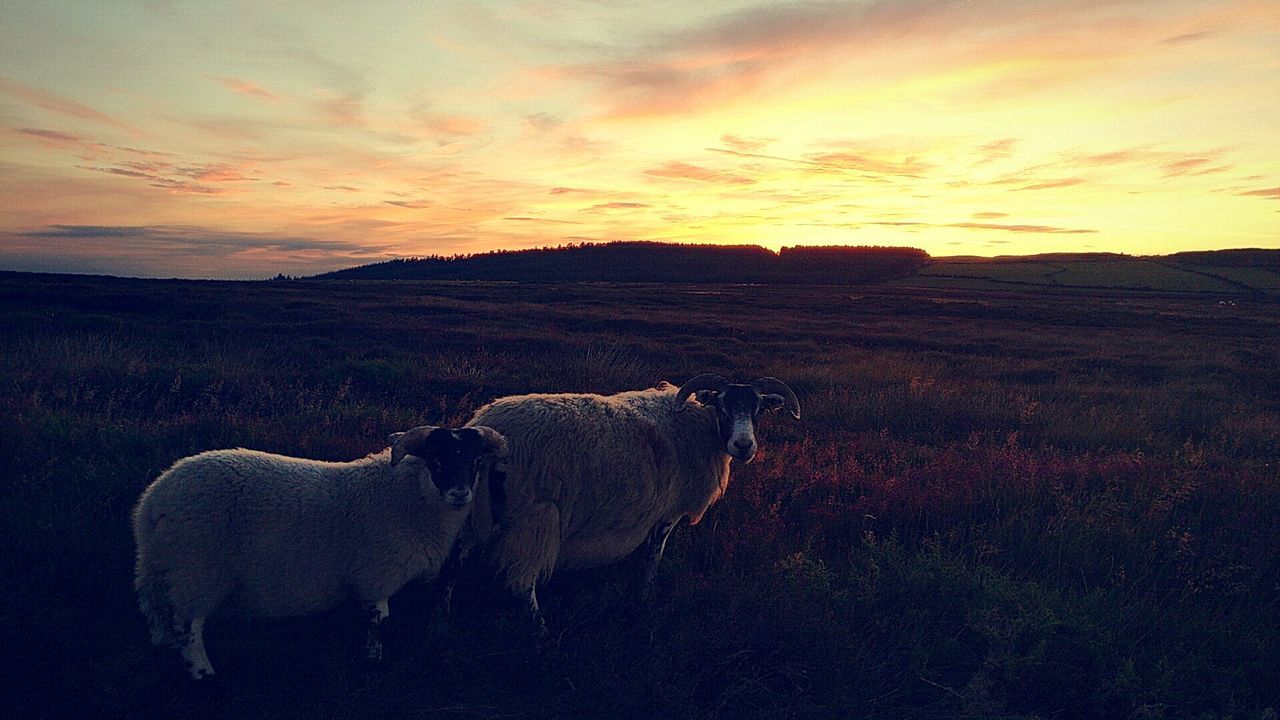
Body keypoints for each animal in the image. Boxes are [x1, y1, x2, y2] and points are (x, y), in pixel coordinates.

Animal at [129, 422, 506, 676]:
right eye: (436, 460)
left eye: (475, 460)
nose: (460, 493)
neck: (406, 495)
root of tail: (152, 503)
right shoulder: (376, 576)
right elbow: (379, 624)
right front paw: (373, 662)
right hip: (195, 572)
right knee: (188, 630)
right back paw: (204, 674)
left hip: (166, 572)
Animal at [460, 371, 798, 630]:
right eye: (722, 407)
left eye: (758, 409)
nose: (744, 446)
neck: (699, 427)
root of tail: (488, 431)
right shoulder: (667, 514)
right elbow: (653, 557)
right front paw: (645, 599)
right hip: (533, 517)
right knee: (521, 584)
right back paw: (541, 633)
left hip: (473, 513)